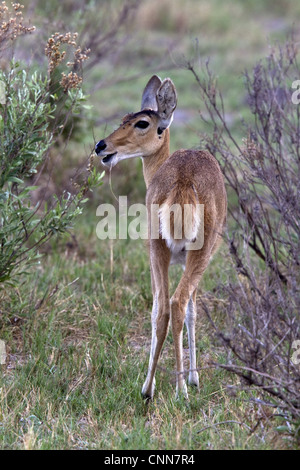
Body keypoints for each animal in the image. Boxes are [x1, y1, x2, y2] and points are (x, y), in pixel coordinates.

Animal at [95, 75, 226, 398]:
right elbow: (187, 310)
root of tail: (184, 180)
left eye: (141, 122)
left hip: (162, 250)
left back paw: (152, 388)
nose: (101, 146)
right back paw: (177, 389)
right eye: (124, 118)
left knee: (165, 308)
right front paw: (192, 378)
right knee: (174, 304)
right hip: (190, 254)